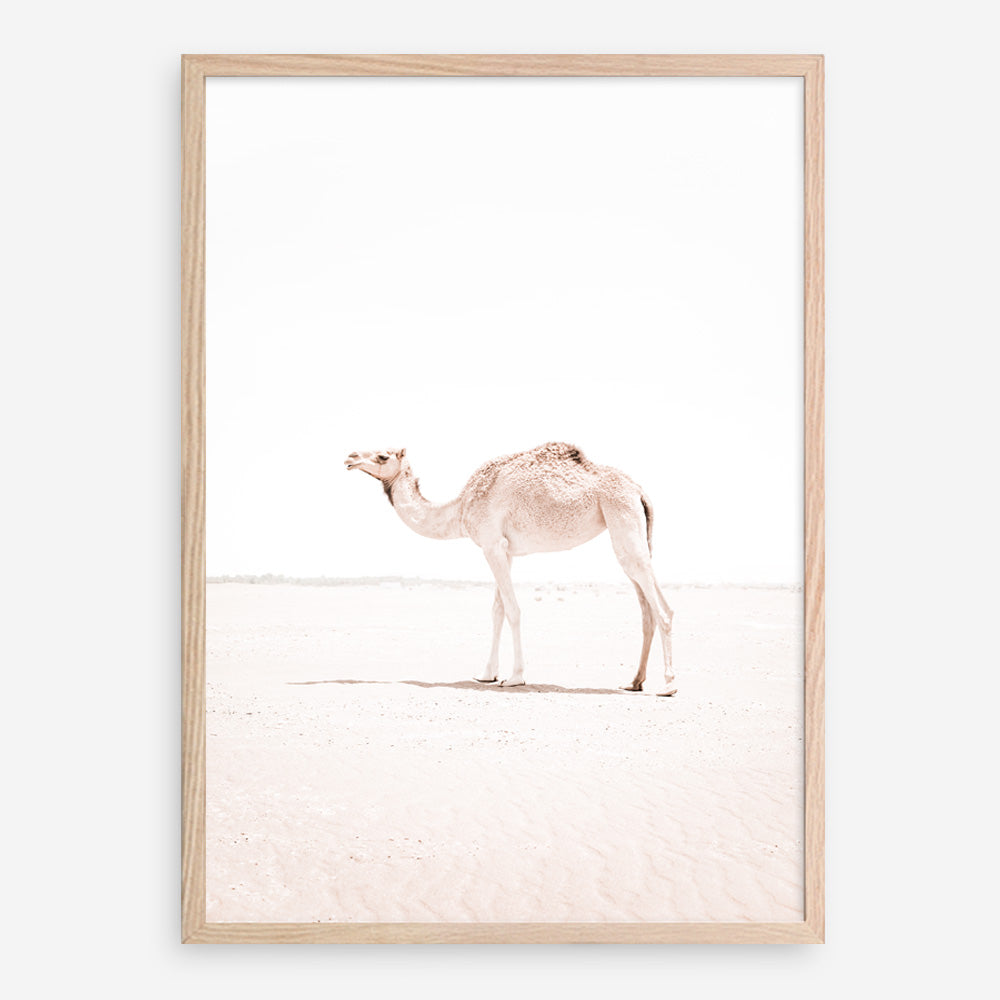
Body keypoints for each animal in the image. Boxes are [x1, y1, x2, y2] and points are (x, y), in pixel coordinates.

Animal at [344, 442, 676, 695]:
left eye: (382, 456)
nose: (350, 457)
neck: (461, 508)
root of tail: (639, 491)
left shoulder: (491, 545)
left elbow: (513, 610)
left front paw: (515, 677)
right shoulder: (505, 550)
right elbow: (497, 610)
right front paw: (486, 673)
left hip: (622, 519)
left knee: (662, 609)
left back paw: (668, 685)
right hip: (631, 530)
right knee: (646, 609)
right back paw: (634, 682)